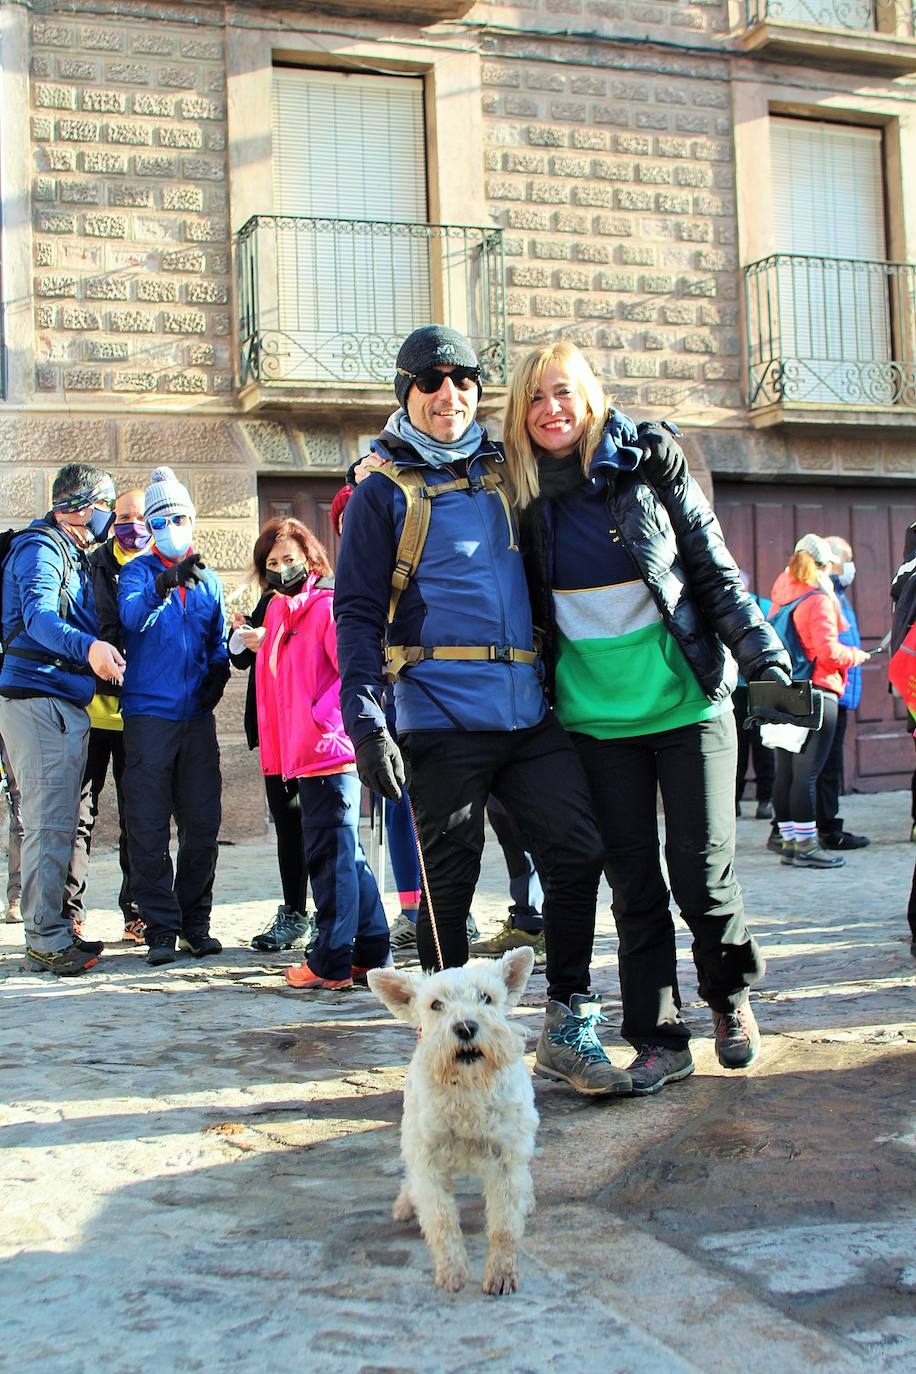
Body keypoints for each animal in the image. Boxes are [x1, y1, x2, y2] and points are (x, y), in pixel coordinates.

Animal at [365, 950, 538, 1291]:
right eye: (435, 1005)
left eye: (486, 997)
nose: (466, 1028)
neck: (467, 1087)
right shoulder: (428, 1160)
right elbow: (441, 1220)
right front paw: (452, 1271)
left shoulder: (506, 1161)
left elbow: (504, 1225)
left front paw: (501, 1274)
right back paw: (405, 1204)